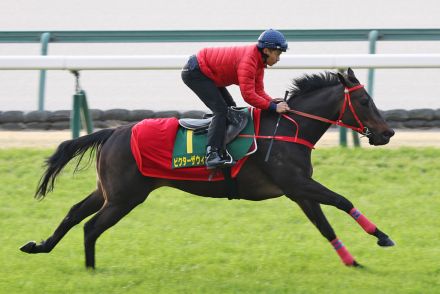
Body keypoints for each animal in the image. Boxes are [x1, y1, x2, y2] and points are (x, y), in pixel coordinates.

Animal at [19, 68, 396, 268]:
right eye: (365, 101)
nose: (387, 132)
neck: (288, 129)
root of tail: (113, 131)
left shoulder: (298, 190)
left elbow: (325, 225)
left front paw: (352, 261)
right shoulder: (297, 184)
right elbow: (342, 201)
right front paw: (382, 236)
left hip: (108, 191)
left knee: (74, 214)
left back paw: (41, 246)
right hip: (125, 197)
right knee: (91, 227)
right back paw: (90, 268)